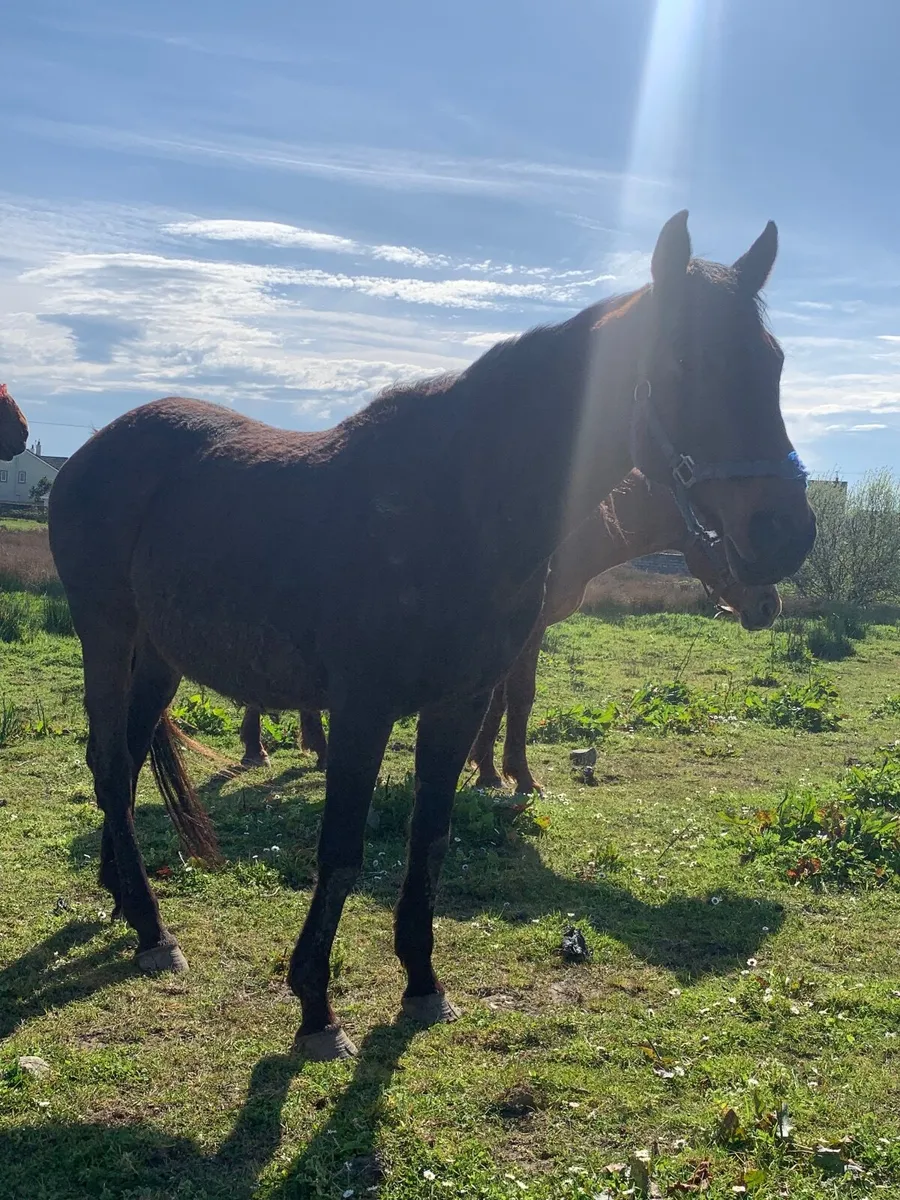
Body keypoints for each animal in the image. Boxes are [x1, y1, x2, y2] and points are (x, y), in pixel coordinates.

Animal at [235, 469, 782, 780]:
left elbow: (496, 702)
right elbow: (520, 698)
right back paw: (261, 749)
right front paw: (517, 775)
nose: (769, 606)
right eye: (726, 531)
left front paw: (483, 769)